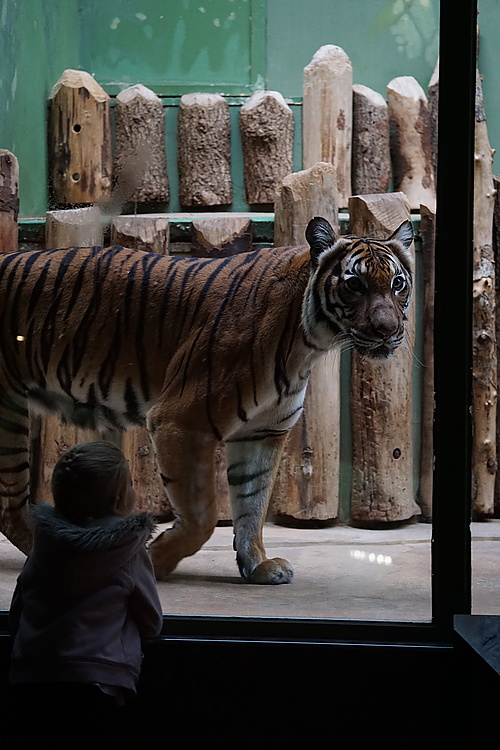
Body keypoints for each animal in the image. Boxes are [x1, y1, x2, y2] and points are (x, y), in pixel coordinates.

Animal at [0, 217, 412, 588]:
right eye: (355, 284)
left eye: (398, 284)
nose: (387, 331)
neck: (310, 344)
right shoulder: (181, 421)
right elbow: (203, 517)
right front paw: (154, 561)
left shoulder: (262, 432)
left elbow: (252, 504)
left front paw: (257, 565)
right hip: (9, 416)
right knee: (10, 507)